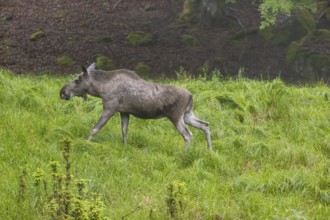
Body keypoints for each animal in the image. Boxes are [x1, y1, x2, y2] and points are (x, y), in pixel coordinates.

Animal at [60, 62, 213, 150]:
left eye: (77, 80)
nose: (62, 92)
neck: (100, 89)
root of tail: (191, 96)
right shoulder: (124, 112)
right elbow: (124, 131)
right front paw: (125, 147)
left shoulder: (110, 109)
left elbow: (95, 129)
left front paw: (85, 143)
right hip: (187, 115)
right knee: (205, 125)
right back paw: (210, 150)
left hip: (176, 117)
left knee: (188, 135)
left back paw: (184, 154)